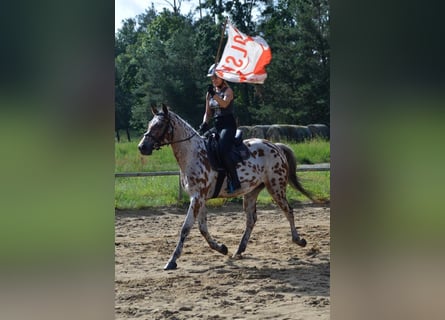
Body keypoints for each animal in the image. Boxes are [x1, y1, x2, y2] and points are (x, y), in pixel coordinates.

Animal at [137, 105, 318, 270]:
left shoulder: (197, 197)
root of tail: (276, 146)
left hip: (276, 187)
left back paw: (299, 240)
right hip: (251, 192)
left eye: (159, 125)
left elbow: (186, 228)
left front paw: (172, 260)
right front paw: (222, 248)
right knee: (251, 219)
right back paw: (239, 250)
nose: (142, 147)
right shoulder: (199, 198)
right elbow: (202, 228)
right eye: (150, 124)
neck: (193, 154)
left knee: (288, 210)